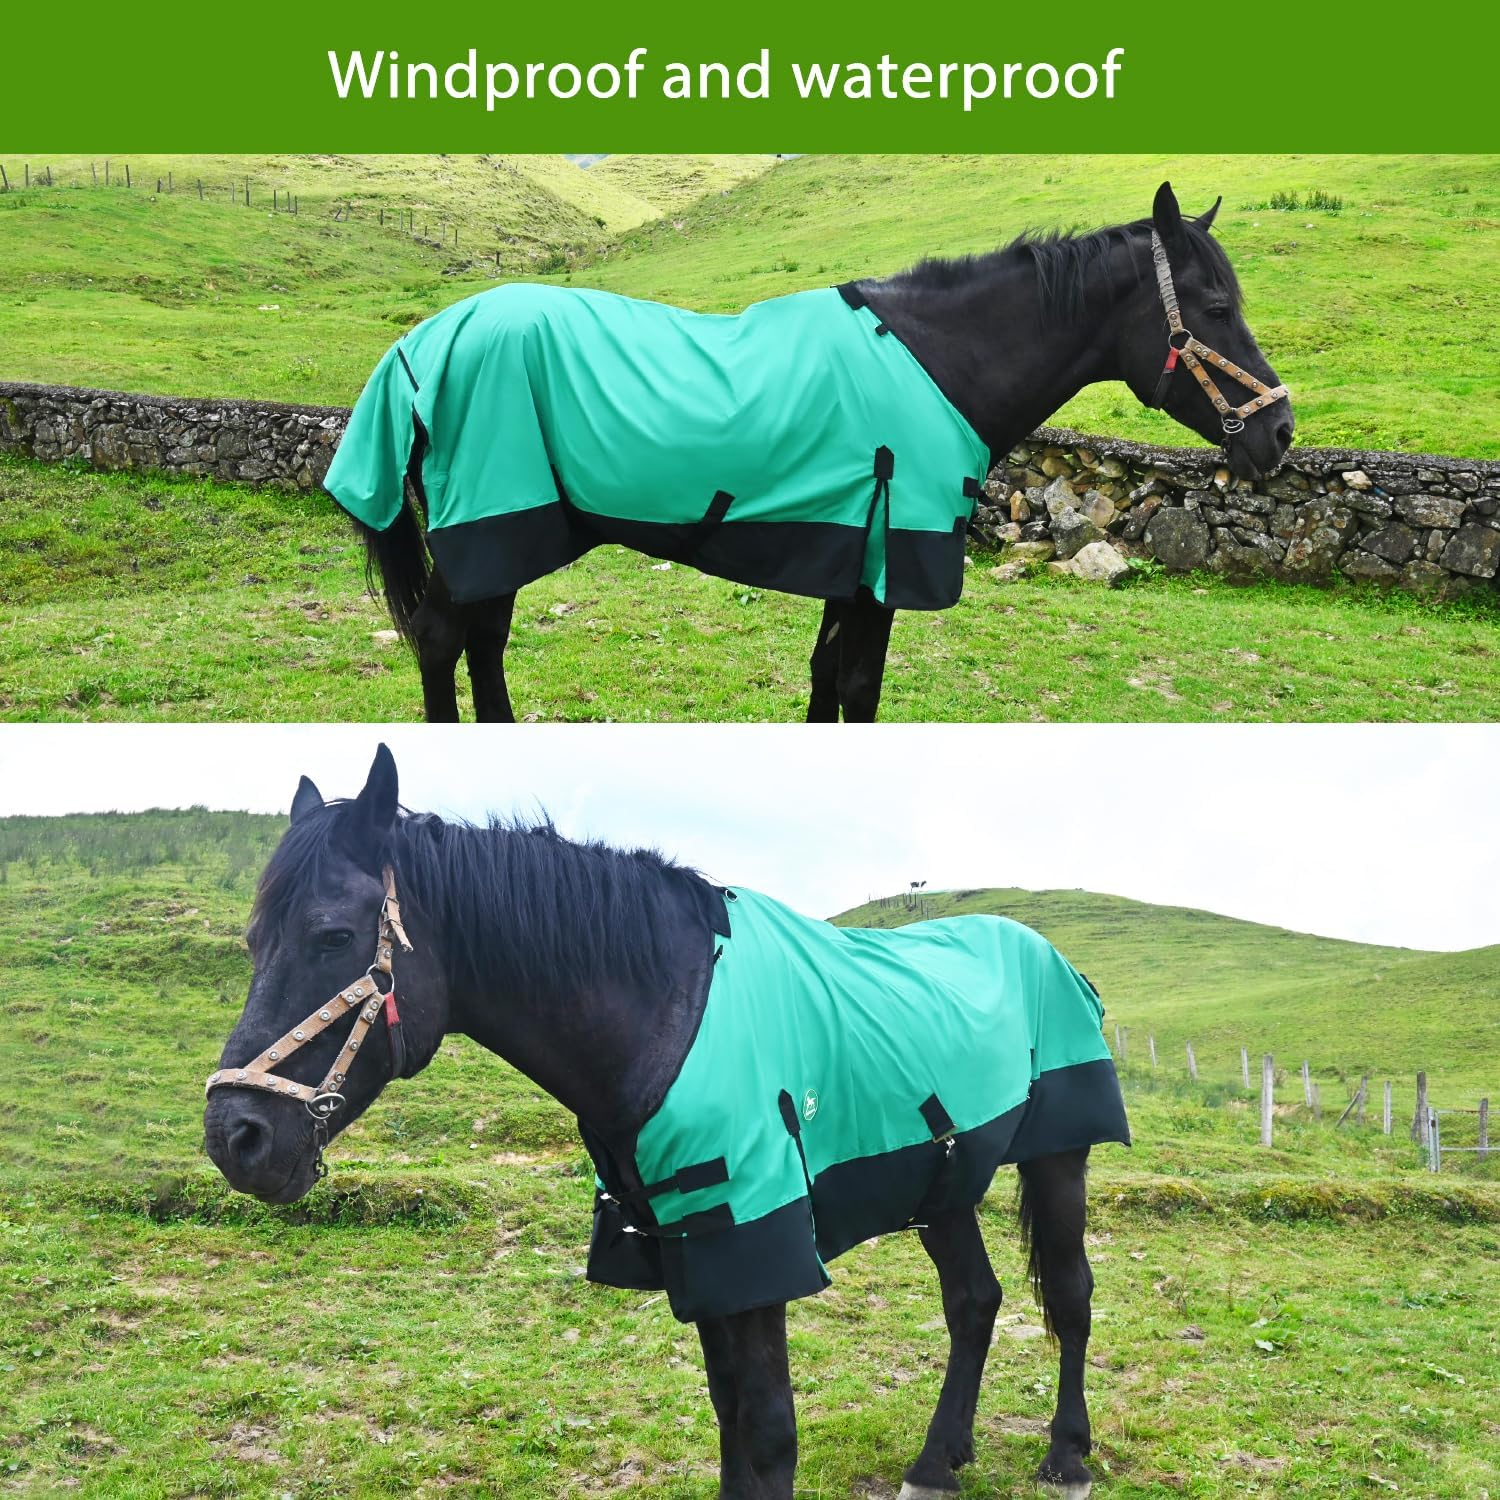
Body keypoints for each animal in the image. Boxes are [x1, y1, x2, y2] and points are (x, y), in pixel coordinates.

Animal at [203, 746, 1132, 1499]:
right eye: (253, 943)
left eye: (332, 936)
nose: (234, 1137)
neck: (666, 1017)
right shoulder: (699, 1250)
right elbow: (732, 1425)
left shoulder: (752, 1248)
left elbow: (768, 1435)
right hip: (943, 1178)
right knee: (974, 1301)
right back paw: (938, 1462)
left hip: (1058, 1159)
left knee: (1072, 1296)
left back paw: (1067, 1456)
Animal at [331, 181, 1292, 724]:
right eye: (1214, 308)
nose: (1280, 433)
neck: (939, 359)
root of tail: (428, 338)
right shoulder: (886, 568)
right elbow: (859, 689)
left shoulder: (849, 559)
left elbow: (826, 680)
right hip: (494, 523)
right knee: (441, 641)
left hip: (509, 536)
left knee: (483, 644)